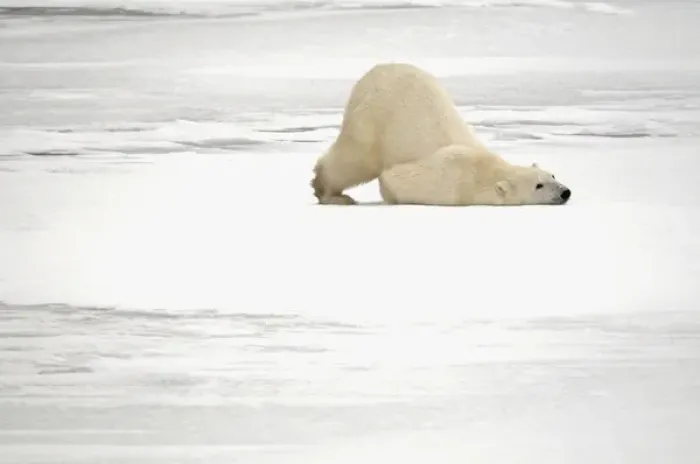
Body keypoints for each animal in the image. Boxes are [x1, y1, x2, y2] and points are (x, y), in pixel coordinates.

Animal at [310, 62, 571, 206]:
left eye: (553, 175)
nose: (565, 192)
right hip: (371, 120)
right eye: (538, 186)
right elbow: (394, 178)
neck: (482, 169)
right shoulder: (449, 178)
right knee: (353, 161)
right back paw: (332, 194)